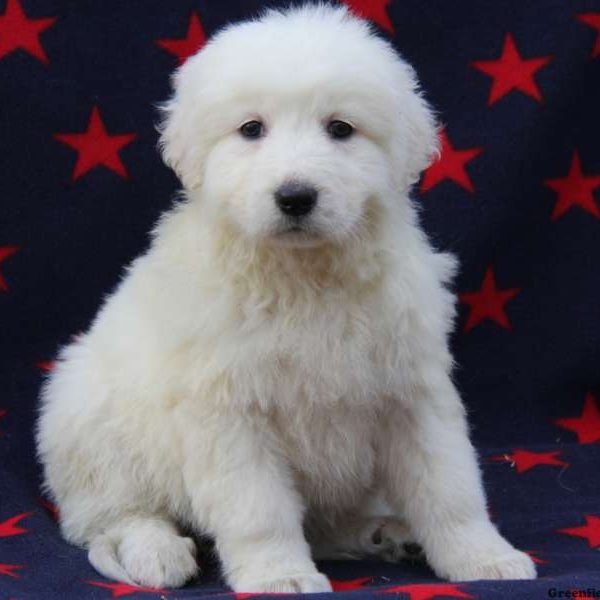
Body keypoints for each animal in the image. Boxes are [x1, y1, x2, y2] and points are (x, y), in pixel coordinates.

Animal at [36, 4, 536, 592]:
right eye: (252, 129)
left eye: (340, 128)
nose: (295, 197)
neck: (304, 274)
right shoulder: (231, 411)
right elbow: (260, 510)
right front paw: (281, 576)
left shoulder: (411, 392)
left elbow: (450, 487)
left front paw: (483, 558)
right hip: (91, 419)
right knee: (112, 516)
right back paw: (155, 552)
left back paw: (386, 533)